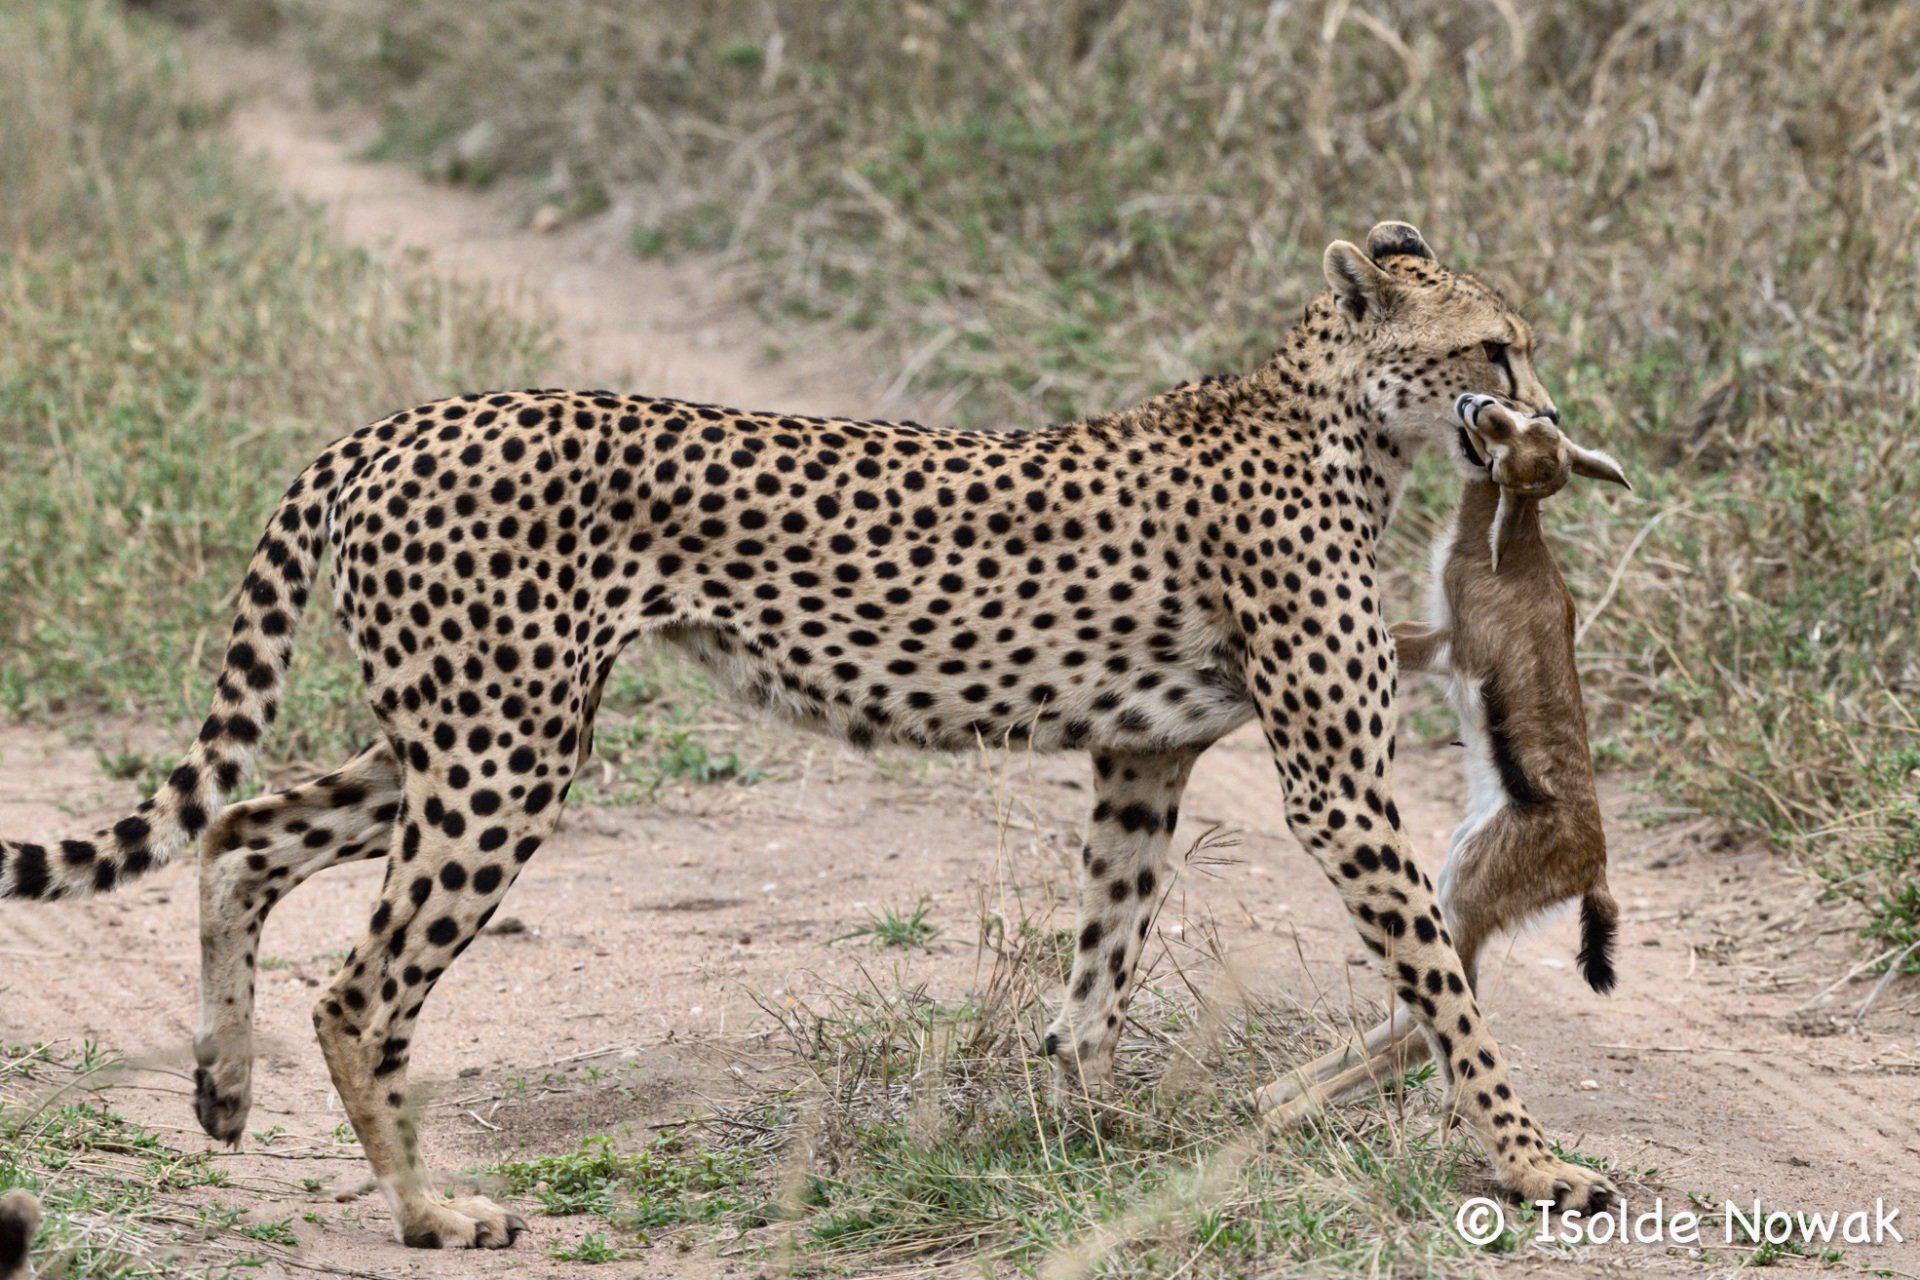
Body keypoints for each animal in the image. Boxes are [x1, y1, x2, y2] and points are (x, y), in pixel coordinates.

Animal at [0, 221, 1616, 1249]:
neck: (1331, 417)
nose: (1546, 414)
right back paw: (429, 1211)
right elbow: (1445, 989)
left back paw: (222, 1088)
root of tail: (395, 423)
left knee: (238, 830)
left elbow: (1103, 959)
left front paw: (1083, 1135)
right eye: (1494, 347)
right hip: (505, 754)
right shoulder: (1335, 787)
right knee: (357, 986)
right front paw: (1536, 1162)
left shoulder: (1142, 758)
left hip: (456, 734)